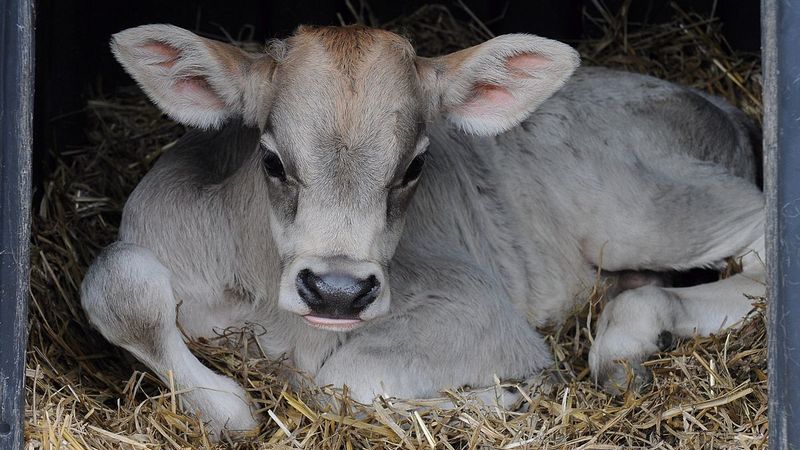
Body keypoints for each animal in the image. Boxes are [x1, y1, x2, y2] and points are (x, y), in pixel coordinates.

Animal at [79, 22, 764, 438]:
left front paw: (512, 395)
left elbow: (346, 380)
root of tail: (717, 103)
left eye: (413, 167)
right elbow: (117, 286)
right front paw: (227, 406)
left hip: (641, 209)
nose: (336, 291)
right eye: (271, 161)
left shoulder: (476, 307)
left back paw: (625, 345)